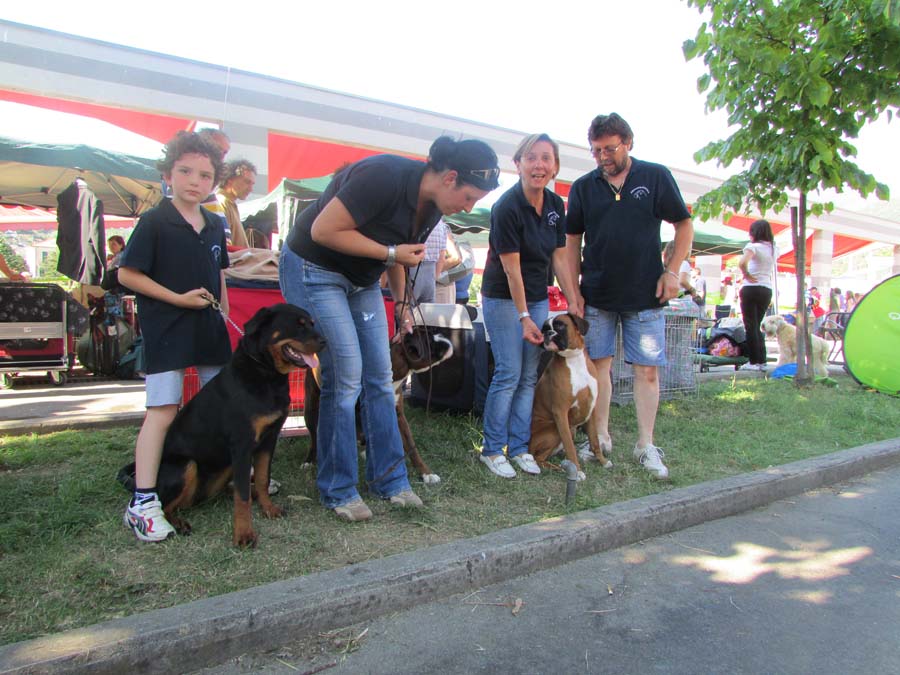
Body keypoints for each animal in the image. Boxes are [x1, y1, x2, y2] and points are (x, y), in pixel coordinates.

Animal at [118, 304, 326, 547]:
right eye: (298, 325)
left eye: (311, 323)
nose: (325, 342)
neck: (265, 373)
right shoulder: (242, 445)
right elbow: (242, 497)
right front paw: (243, 534)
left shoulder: (269, 440)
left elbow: (262, 479)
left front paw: (268, 509)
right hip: (186, 464)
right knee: (167, 504)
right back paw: (176, 523)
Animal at [303, 325, 454, 484]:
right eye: (429, 341)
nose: (444, 336)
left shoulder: (398, 416)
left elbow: (411, 446)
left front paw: (426, 473)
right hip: (311, 409)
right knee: (315, 437)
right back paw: (310, 460)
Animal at [529, 314, 612, 481]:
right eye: (544, 329)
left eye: (560, 325)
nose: (548, 334)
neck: (574, 360)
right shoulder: (560, 412)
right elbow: (570, 446)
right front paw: (577, 471)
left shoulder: (591, 409)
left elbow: (595, 441)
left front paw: (603, 461)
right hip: (554, 429)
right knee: (538, 458)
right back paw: (559, 468)